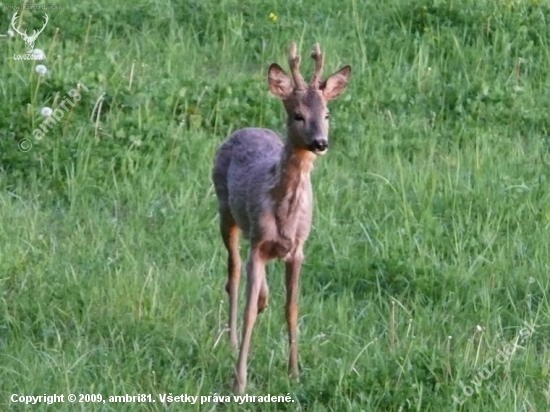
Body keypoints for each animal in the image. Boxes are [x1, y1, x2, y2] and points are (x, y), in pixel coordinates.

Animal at [213, 41, 352, 392]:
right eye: (297, 114)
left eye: (327, 114)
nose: (320, 142)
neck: (284, 214)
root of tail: (247, 127)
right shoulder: (259, 242)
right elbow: (249, 310)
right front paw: (240, 380)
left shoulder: (298, 249)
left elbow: (292, 308)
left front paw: (294, 372)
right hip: (225, 210)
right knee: (233, 273)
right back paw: (232, 340)